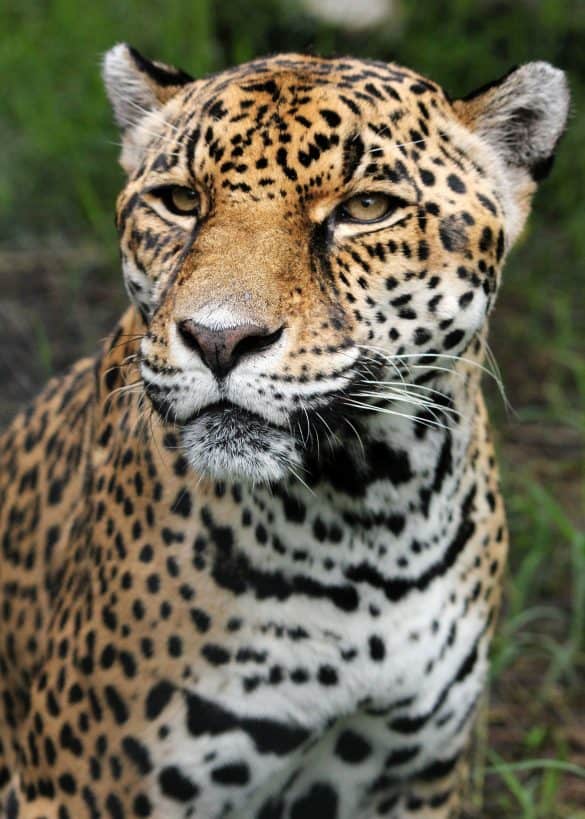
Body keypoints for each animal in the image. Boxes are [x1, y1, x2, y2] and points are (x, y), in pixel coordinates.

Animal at [0, 44, 569, 819]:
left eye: (366, 209)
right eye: (181, 201)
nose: (219, 339)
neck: (368, 522)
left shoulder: (416, 777)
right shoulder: (75, 788)